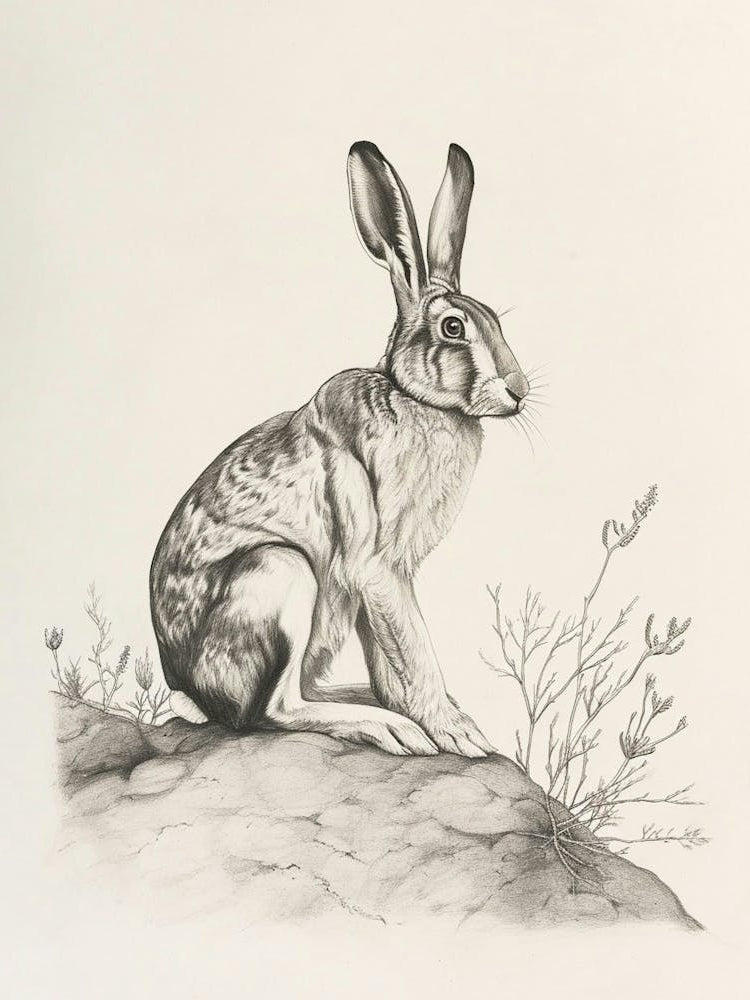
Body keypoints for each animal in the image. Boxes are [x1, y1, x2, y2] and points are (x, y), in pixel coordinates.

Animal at [149, 141, 530, 757]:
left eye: (495, 319)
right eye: (453, 328)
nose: (519, 391)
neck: (413, 397)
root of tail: (190, 689)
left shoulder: (379, 581)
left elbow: (390, 655)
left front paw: (429, 718)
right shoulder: (377, 570)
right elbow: (414, 649)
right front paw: (457, 734)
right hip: (278, 571)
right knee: (271, 711)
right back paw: (386, 728)